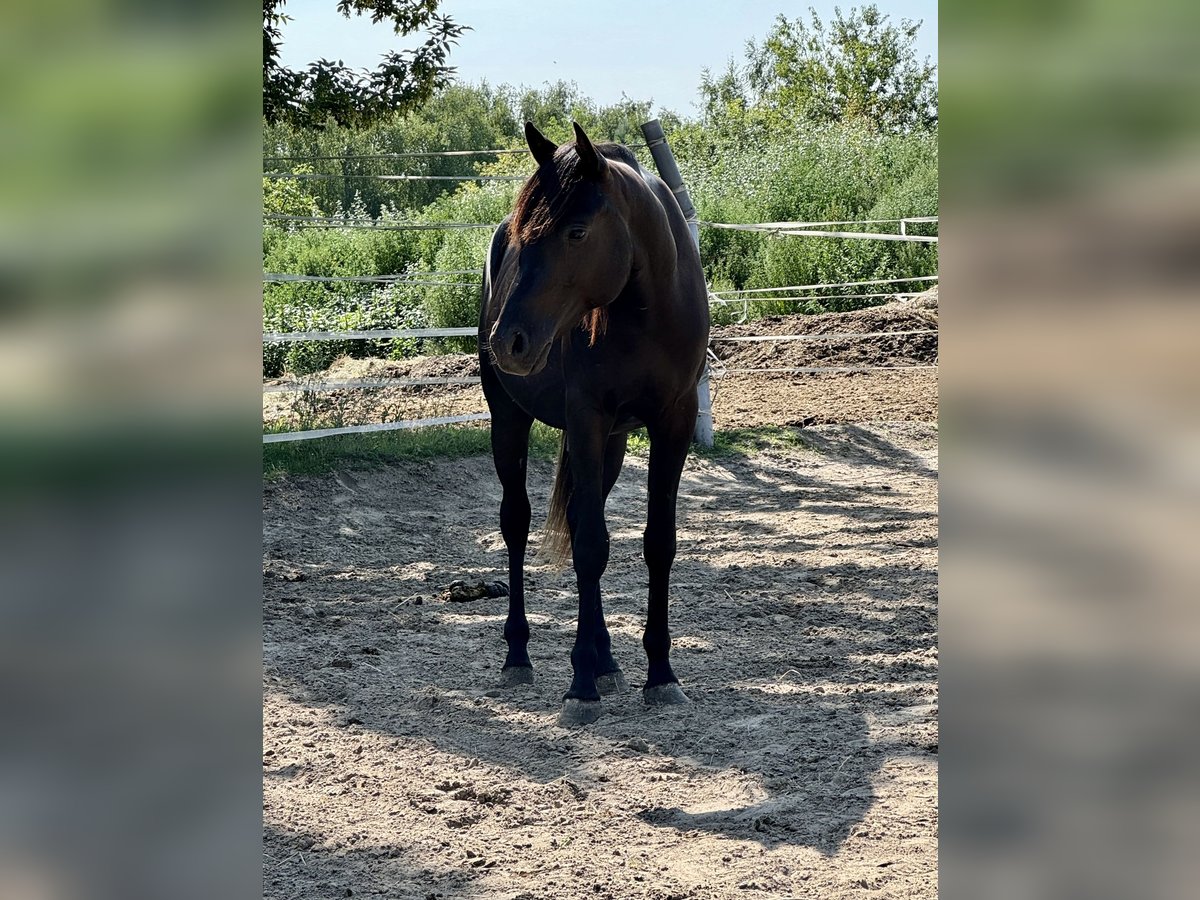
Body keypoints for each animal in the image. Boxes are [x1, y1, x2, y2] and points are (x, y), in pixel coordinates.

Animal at [475, 121, 705, 724]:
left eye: (576, 232)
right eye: (523, 236)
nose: (508, 342)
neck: (645, 310)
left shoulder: (673, 422)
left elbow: (657, 543)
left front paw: (660, 673)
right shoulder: (585, 418)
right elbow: (590, 548)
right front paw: (579, 684)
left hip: (614, 442)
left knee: (584, 518)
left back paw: (606, 659)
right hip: (508, 419)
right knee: (517, 523)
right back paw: (519, 655)